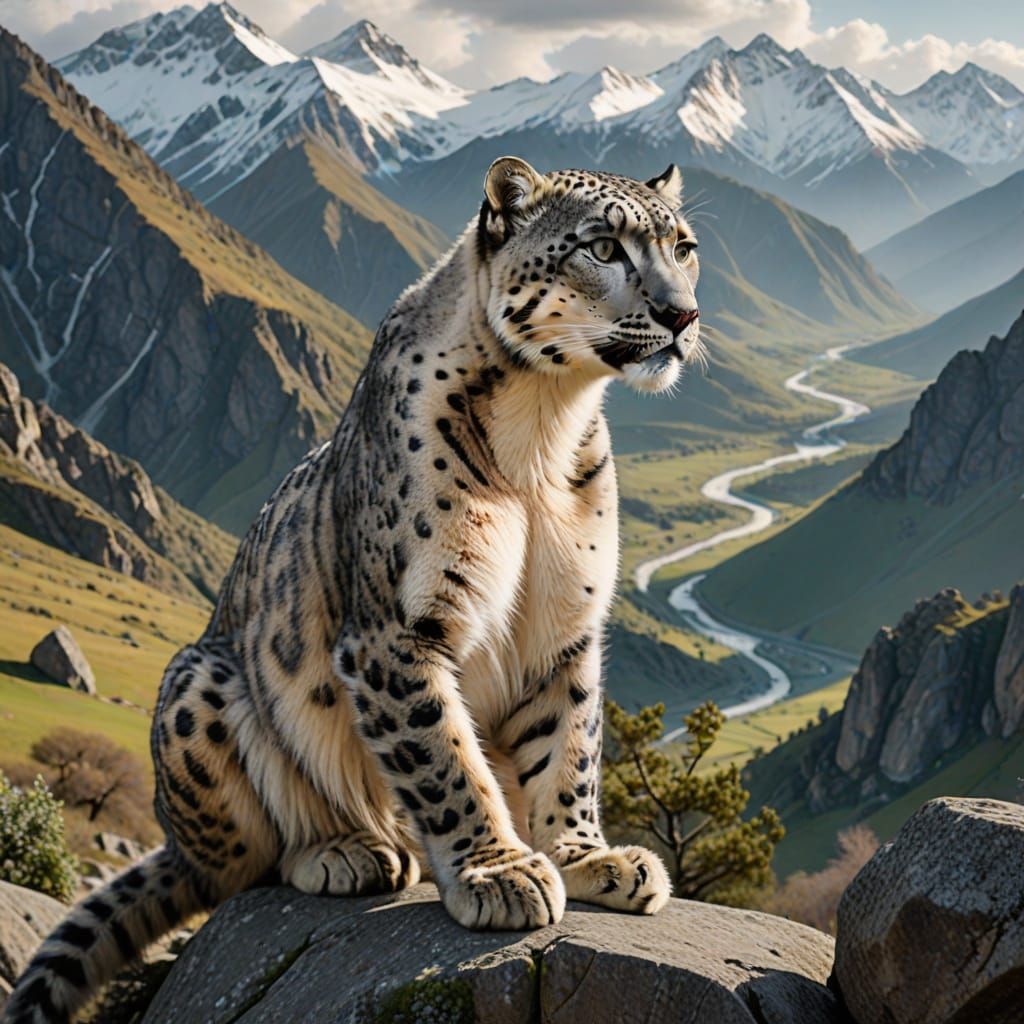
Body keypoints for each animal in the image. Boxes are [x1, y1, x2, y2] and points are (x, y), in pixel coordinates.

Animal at [4, 157, 702, 1023]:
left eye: (684, 247)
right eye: (603, 246)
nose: (682, 313)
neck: (544, 431)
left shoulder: (567, 627)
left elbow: (567, 751)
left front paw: (587, 857)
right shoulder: (400, 630)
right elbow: (444, 758)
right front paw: (498, 870)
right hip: (199, 687)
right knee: (240, 866)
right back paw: (349, 849)